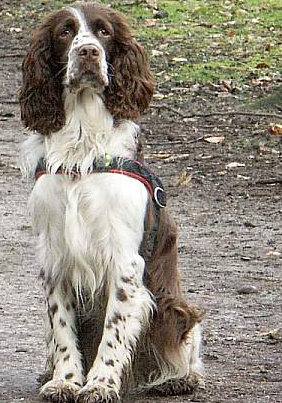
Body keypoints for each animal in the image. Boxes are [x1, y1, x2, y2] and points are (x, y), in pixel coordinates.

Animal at [18, 2, 204, 400]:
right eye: (66, 32)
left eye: (103, 32)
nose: (88, 52)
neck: (82, 144)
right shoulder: (55, 255)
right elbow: (62, 329)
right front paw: (66, 380)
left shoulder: (124, 259)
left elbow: (114, 330)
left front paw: (100, 383)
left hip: (175, 309)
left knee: (187, 341)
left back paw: (178, 378)